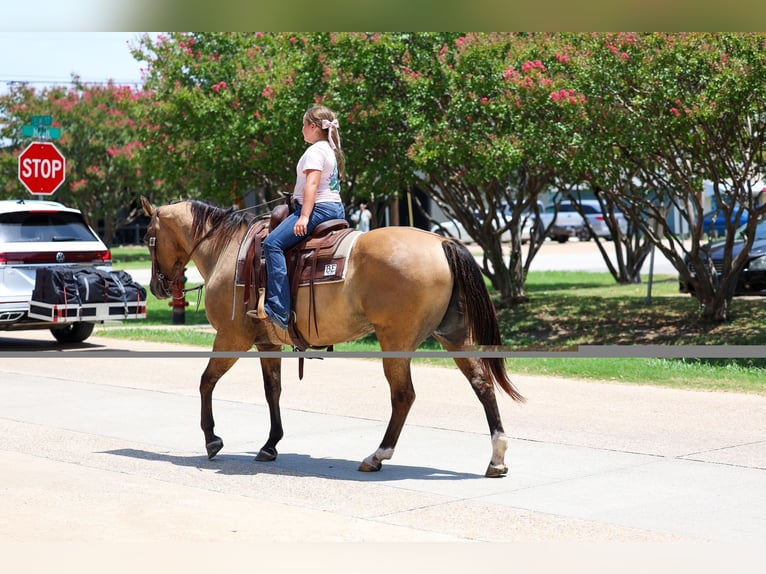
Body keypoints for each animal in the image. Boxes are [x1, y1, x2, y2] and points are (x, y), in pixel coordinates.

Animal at [141, 197, 525, 477]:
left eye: (148, 237)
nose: (157, 287)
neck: (229, 249)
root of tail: (442, 240)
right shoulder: (267, 342)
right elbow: (272, 391)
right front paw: (270, 445)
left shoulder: (231, 337)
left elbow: (206, 381)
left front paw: (212, 439)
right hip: (453, 336)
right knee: (482, 384)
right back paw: (497, 458)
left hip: (396, 341)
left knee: (403, 396)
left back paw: (377, 455)